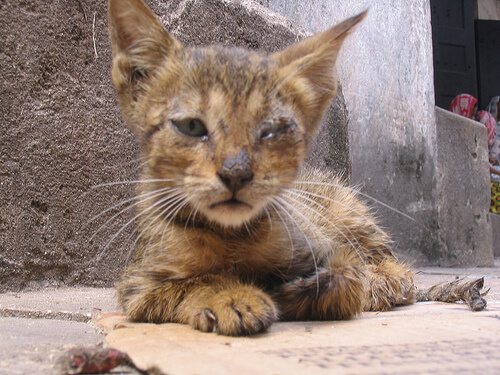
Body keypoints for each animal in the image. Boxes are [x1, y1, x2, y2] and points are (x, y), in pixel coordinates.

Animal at [107, 0, 486, 336]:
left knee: (400, 273)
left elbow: (346, 276)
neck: (233, 234)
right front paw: (232, 295)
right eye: (190, 126)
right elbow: (197, 281)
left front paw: (302, 289)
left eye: (272, 130)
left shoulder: (320, 247)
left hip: (349, 209)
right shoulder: (137, 284)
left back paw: (382, 281)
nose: (236, 173)